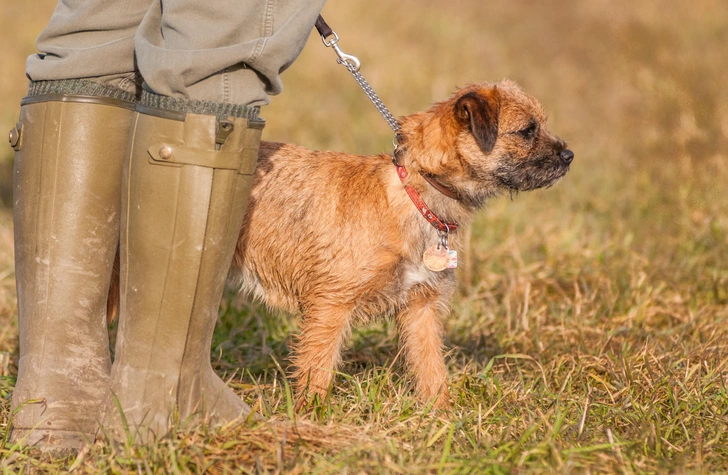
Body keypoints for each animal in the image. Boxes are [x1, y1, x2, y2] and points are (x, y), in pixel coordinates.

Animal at [233, 79, 576, 410]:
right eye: (527, 131)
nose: (569, 156)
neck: (416, 191)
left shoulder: (422, 308)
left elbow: (432, 367)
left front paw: (441, 416)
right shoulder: (330, 305)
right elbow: (317, 367)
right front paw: (311, 415)